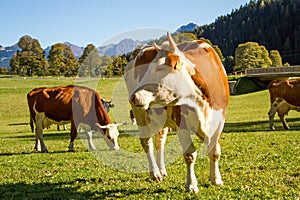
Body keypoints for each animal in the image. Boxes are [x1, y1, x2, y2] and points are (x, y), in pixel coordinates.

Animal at [124, 32, 230, 192]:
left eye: (159, 68)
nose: (133, 97)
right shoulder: (182, 122)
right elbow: (190, 155)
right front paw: (191, 185)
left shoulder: (219, 120)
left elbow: (215, 151)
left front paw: (216, 179)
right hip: (140, 115)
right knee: (146, 142)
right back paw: (155, 173)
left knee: (159, 142)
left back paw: (162, 170)